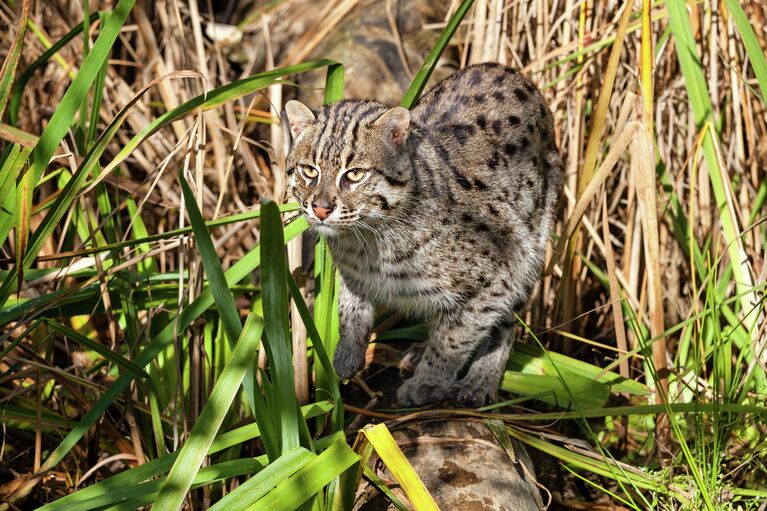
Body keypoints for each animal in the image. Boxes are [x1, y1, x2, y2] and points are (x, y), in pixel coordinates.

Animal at [282, 63, 564, 408]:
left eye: (355, 175)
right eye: (309, 171)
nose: (321, 209)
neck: (370, 238)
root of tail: (514, 72)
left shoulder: (501, 272)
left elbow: (455, 338)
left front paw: (430, 380)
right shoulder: (354, 274)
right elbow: (350, 306)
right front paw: (348, 351)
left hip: (532, 243)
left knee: (505, 322)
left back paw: (478, 381)